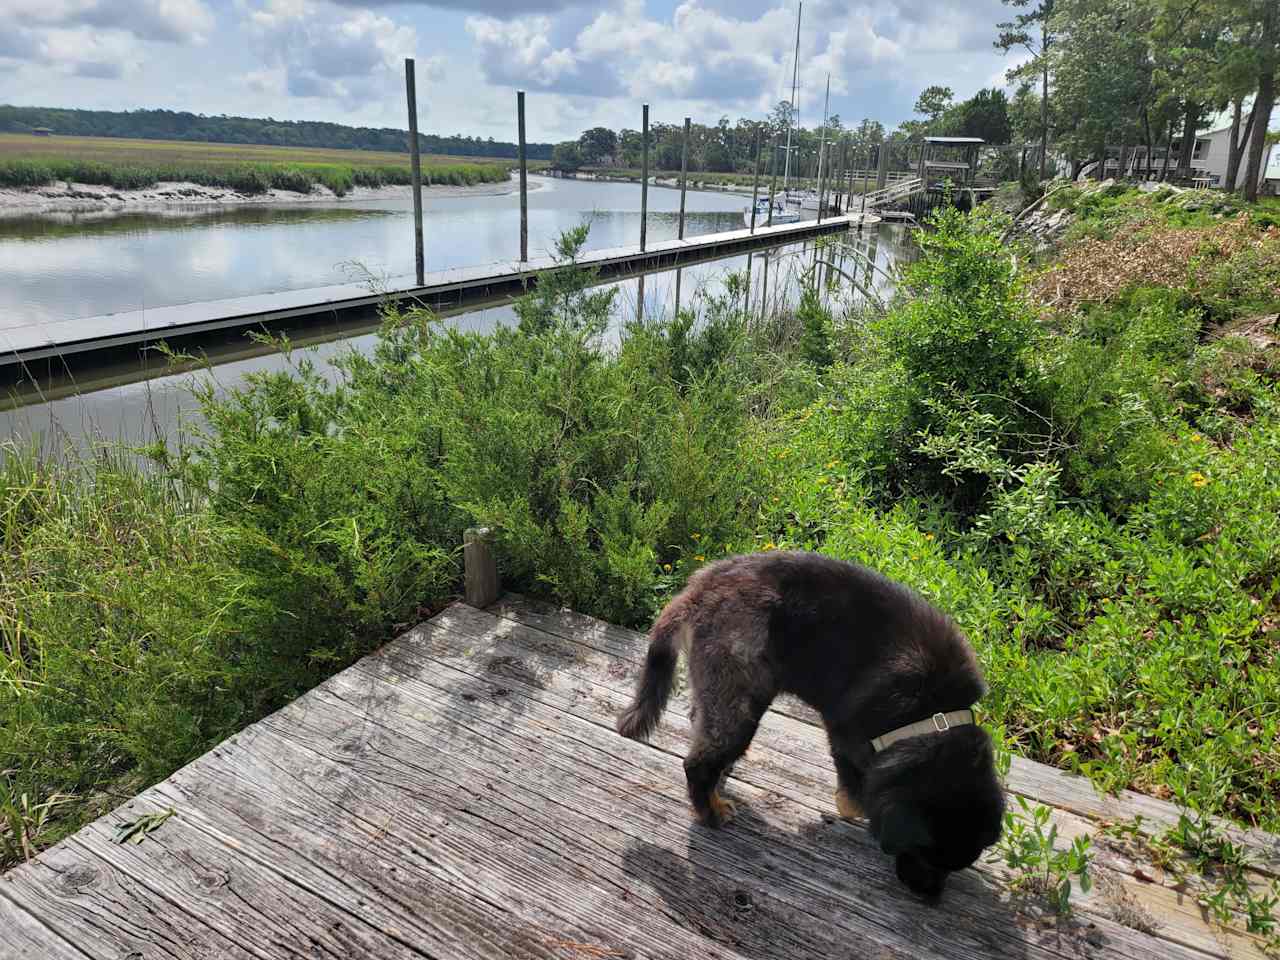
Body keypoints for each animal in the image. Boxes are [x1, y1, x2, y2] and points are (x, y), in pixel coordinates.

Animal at [614, 552, 1003, 901]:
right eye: (924, 855)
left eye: (952, 868)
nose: (929, 897)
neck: (934, 717)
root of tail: (699, 588)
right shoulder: (847, 738)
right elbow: (856, 791)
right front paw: (851, 808)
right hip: (742, 702)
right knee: (697, 763)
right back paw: (710, 812)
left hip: (722, 694)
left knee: (702, 728)